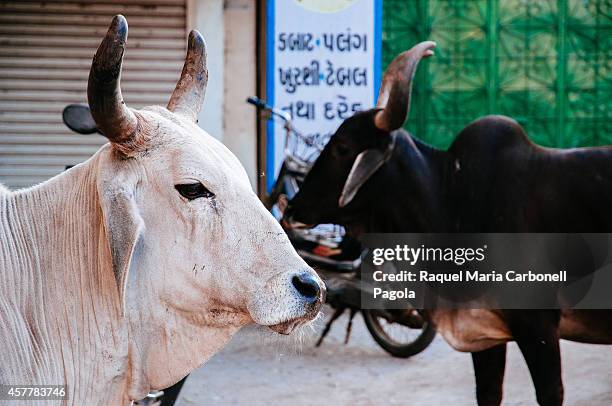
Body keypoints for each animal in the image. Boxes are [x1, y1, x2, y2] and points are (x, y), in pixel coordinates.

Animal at [286, 42, 612, 406]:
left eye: (342, 147)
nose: (292, 206)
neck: (451, 199)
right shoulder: (484, 332)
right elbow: (488, 392)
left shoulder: (538, 327)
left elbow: (549, 392)